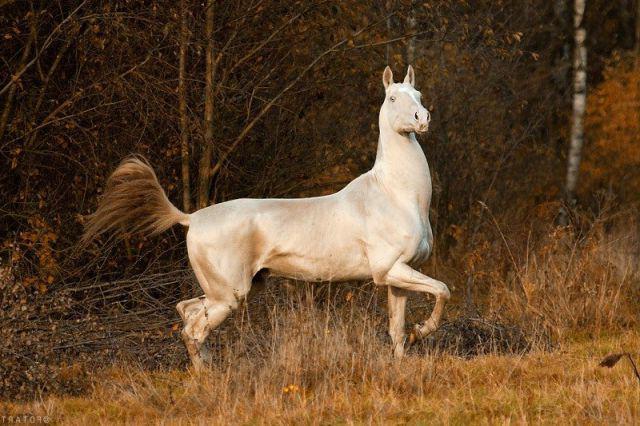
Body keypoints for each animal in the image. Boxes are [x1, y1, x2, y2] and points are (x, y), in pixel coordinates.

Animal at [81, 65, 450, 370]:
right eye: (392, 97)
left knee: (186, 313)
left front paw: (407, 351)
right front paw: (423, 330)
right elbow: (443, 290)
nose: (422, 118)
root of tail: (191, 218)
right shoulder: (390, 270)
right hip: (229, 295)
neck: (395, 195)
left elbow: (397, 330)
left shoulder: (396, 278)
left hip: (229, 291)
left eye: (418, 95)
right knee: (194, 329)